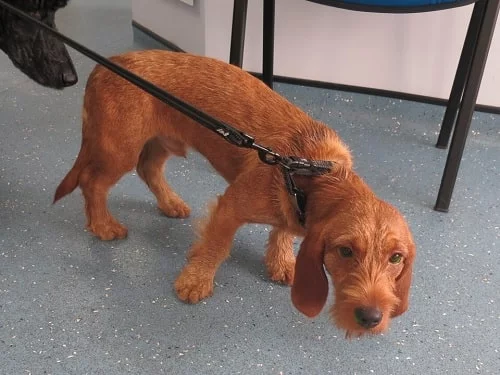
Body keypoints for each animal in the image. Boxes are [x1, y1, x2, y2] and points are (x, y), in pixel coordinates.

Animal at [53, 48, 414, 336]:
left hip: (159, 143)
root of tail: (107, 65)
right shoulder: (230, 207)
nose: (371, 318)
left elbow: (282, 233)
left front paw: (281, 261)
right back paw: (103, 225)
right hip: (119, 149)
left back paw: (169, 203)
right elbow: (216, 247)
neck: (312, 171)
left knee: (149, 169)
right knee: (93, 182)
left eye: (396, 258)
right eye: (345, 251)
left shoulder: (291, 214)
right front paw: (196, 280)